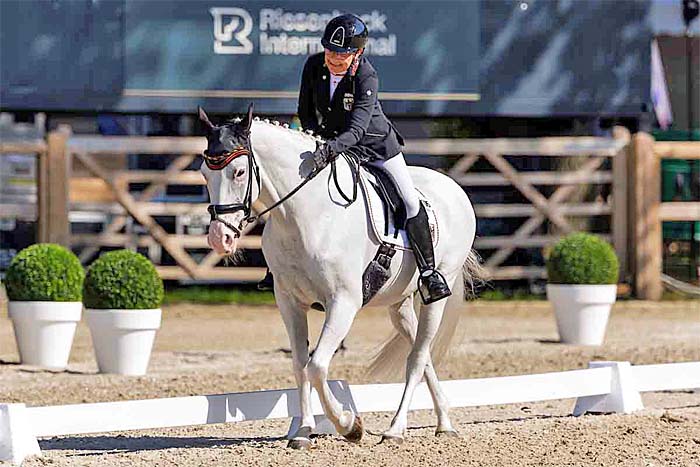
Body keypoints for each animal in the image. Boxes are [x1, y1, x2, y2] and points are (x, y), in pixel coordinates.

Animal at [197, 106, 482, 450]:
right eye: (204, 173)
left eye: (239, 172)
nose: (219, 238)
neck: (304, 216)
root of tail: (453, 187)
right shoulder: (289, 302)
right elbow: (300, 365)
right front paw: (304, 431)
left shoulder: (343, 302)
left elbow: (318, 366)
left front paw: (349, 426)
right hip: (398, 303)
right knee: (422, 354)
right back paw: (444, 422)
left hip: (437, 293)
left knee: (416, 359)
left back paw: (395, 429)